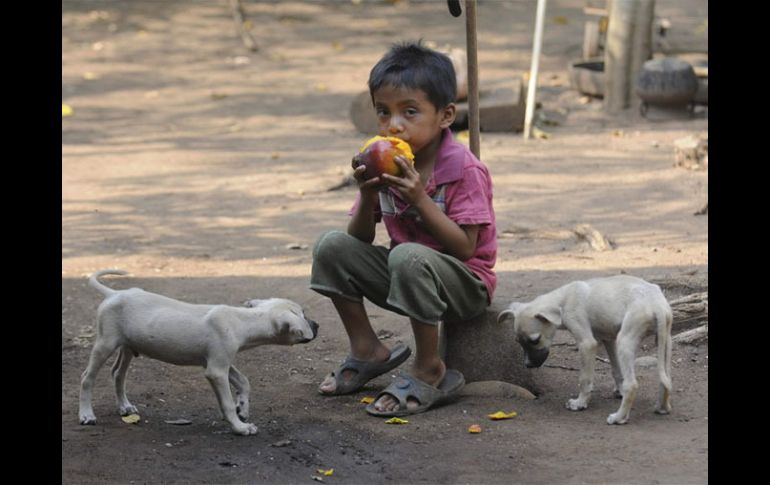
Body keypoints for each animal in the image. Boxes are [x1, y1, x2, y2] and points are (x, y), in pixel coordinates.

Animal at [78, 268, 318, 434]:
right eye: (304, 314)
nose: (317, 325)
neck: (243, 320)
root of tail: (113, 294)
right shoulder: (216, 371)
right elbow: (227, 403)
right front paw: (240, 427)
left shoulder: (217, 363)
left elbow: (243, 382)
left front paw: (243, 409)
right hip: (105, 344)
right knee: (87, 378)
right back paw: (87, 414)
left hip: (128, 347)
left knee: (118, 374)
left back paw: (124, 406)